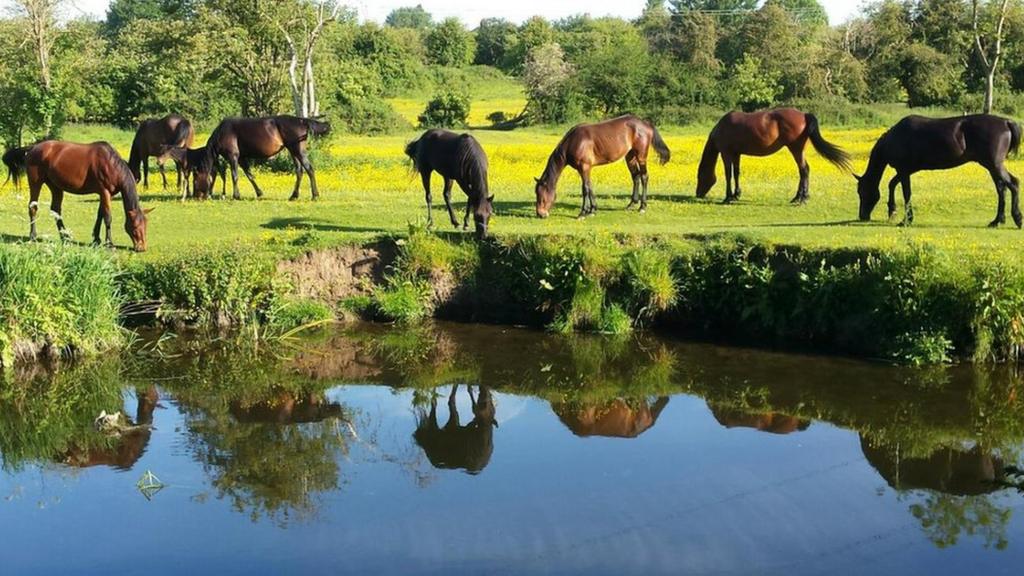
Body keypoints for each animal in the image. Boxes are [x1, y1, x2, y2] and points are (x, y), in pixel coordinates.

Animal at [192, 114, 331, 199]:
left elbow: (235, 176)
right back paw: (294, 196)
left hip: (298, 151)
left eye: (195, 181)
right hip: (293, 152)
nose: (196, 196)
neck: (222, 132)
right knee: (299, 171)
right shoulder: (241, 158)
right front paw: (259, 193)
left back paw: (315, 195)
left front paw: (236, 195)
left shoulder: (233, 156)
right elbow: (250, 175)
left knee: (309, 169)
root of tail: (302, 121)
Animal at [536, 114, 671, 217]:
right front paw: (592, 210)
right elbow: (590, 186)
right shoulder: (585, 169)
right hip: (630, 157)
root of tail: (645, 123)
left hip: (641, 156)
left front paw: (583, 213)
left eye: (541, 195)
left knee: (644, 177)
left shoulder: (584, 167)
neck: (575, 142)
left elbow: (585, 188)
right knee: (635, 177)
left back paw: (642, 207)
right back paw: (631, 204)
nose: (540, 214)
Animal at [696, 106, 856, 202]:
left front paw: (728, 197)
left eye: (699, 177)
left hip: (796, 149)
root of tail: (804, 115)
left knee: (803, 170)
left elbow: (728, 174)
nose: (698, 194)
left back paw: (802, 198)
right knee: (805, 170)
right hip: (800, 150)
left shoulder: (726, 153)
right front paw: (736, 195)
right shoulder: (736, 154)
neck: (722, 128)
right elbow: (736, 173)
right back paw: (799, 197)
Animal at [851, 113, 1019, 226]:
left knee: (1013, 184)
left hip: (994, 165)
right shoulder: (906, 170)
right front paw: (892, 211)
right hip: (992, 167)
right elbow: (892, 184)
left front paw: (906, 220)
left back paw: (1017, 218)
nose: (862, 216)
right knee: (1002, 189)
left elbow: (906, 193)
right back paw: (997, 221)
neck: (894, 138)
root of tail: (1005, 122)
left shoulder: (904, 171)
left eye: (862, 192)